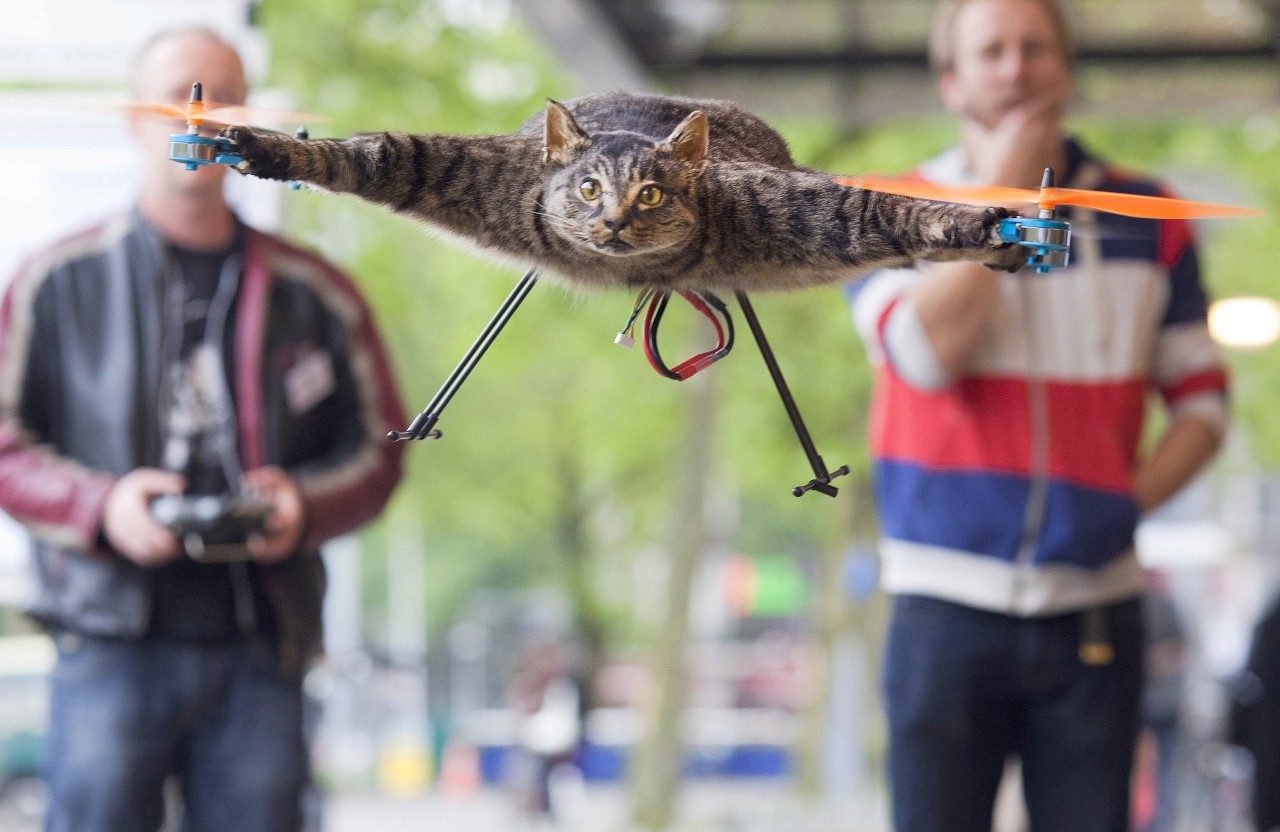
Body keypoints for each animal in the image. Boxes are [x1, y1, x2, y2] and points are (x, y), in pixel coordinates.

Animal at [220, 90, 1018, 290]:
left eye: (653, 195)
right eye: (587, 188)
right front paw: (269, 147)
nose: (610, 222)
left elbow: (881, 209)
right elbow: (381, 153)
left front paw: (991, 230)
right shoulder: (485, 174)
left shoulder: (796, 210)